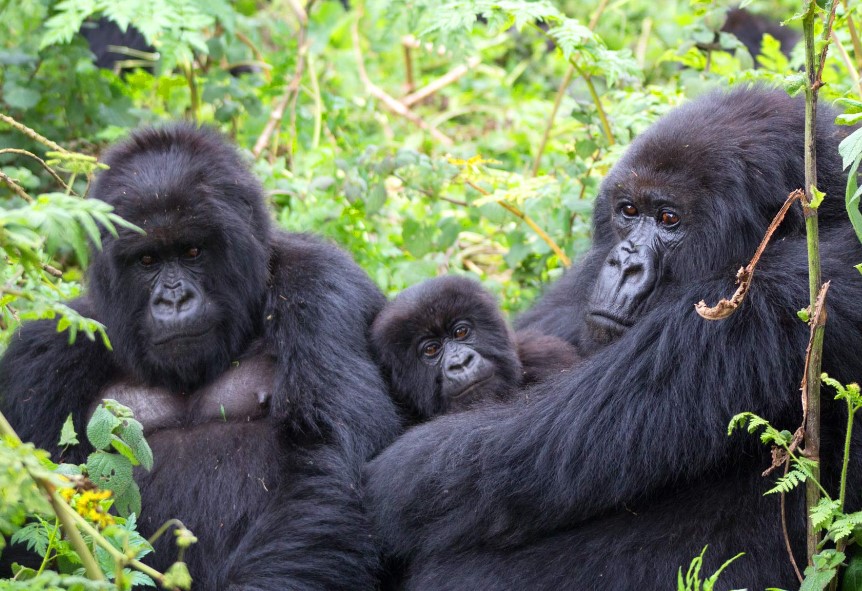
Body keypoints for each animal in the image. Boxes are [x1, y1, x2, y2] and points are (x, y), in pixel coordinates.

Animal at [0, 122, 402, 588]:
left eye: (192, 251)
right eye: (147, 260)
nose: (173, 300)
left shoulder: (323, 287)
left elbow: (330, 458)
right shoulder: (42, 353)